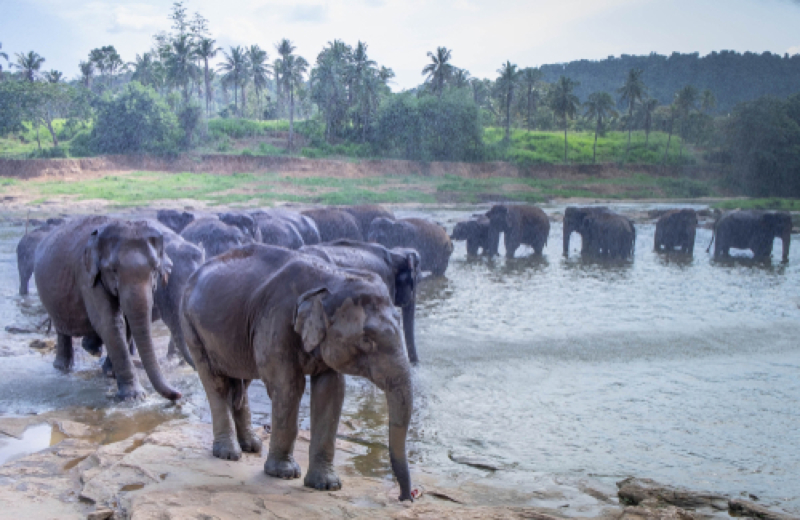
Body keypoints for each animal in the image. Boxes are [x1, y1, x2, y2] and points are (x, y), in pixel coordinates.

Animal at [33, 216, 181, 401]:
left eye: (155, 269)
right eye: (113, 270)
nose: (178, 394)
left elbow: (125, 322)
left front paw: (110, 373)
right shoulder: (87, 275)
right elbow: (110, 322)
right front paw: (134, 397)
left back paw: (92, 349)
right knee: (63, 331)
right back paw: (63, 367)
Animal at [181, 244, 414, 500]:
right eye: (366, 339)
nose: (405, 497)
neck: (331, 278)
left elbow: (331, 391)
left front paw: (326, 485)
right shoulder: (277, 322)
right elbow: (288, 387)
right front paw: (284, 473)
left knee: (241, 382)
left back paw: (252, 446)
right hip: (191, 327)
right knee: (216, 383)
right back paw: (229, 453)